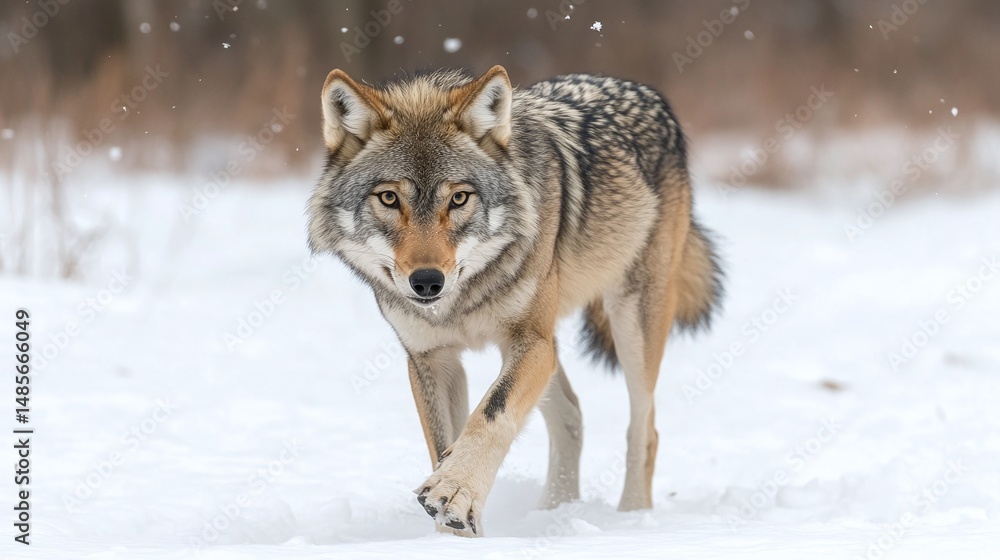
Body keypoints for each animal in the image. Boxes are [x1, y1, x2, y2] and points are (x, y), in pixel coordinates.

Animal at [307, 65, 723, 536]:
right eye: (389, 198)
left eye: (459, 198)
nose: (427, 282)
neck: (463, 299)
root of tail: (643, 90)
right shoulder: (431, 359)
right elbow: (443, 444)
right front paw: (452, 533)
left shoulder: (530, 342)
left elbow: (491, 413)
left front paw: (455, 490)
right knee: (572, 416)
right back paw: (554, 513)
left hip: (630, 321)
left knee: (644, 430)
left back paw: (632, 519)